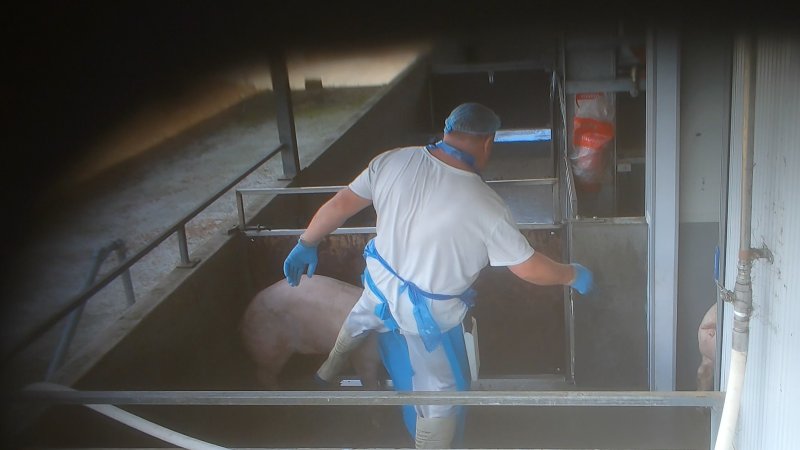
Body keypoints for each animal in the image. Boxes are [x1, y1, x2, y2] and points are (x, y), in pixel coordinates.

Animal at [238, 274, 382, 390]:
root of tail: (245, 317)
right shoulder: (364, 355)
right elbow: (369, 379)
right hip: (271, 346)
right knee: (265, 375)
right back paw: (278, 390)